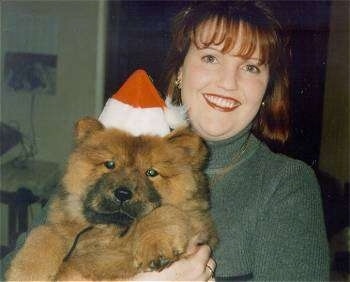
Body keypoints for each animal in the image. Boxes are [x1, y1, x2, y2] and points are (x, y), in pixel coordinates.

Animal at [6, 117, 216, 282]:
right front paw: (24, 273)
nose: (122, 193)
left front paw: (156, 248)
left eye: (151, 173)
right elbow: (43, 233)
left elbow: (163, 212)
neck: (109, 230)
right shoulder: (62, 229)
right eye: (110, 164)